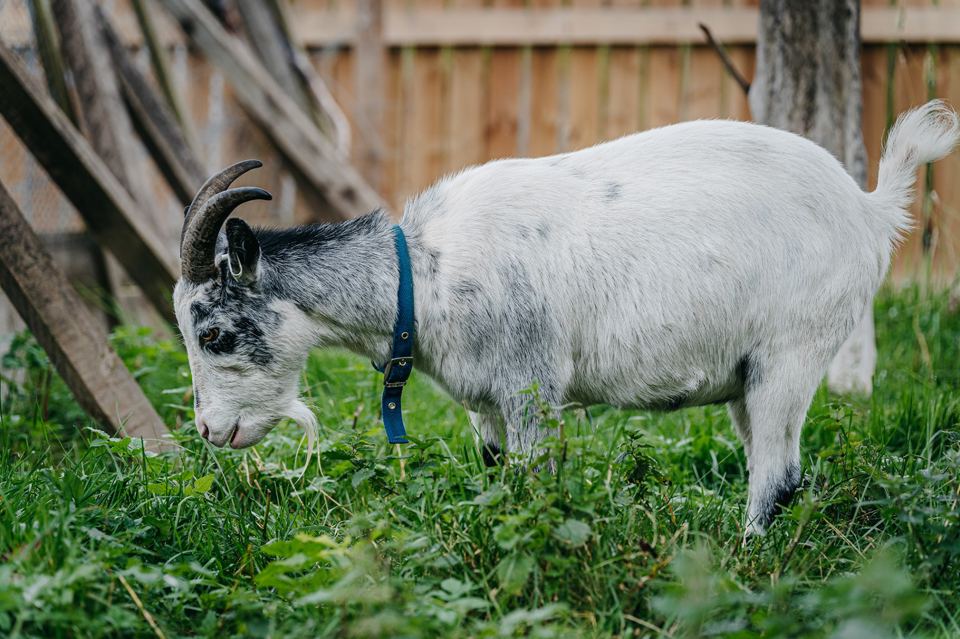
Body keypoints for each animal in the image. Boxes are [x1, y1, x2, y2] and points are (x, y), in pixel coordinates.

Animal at [173, 100, 958, 534]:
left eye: (213, 332)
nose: (210, 431)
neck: (422, 273)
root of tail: (869, 209)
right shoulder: (485, 403)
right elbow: (499, 480)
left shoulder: (532, 388)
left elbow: (534, 481)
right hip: (751, 374)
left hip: (789, 355)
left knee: (776, 476)